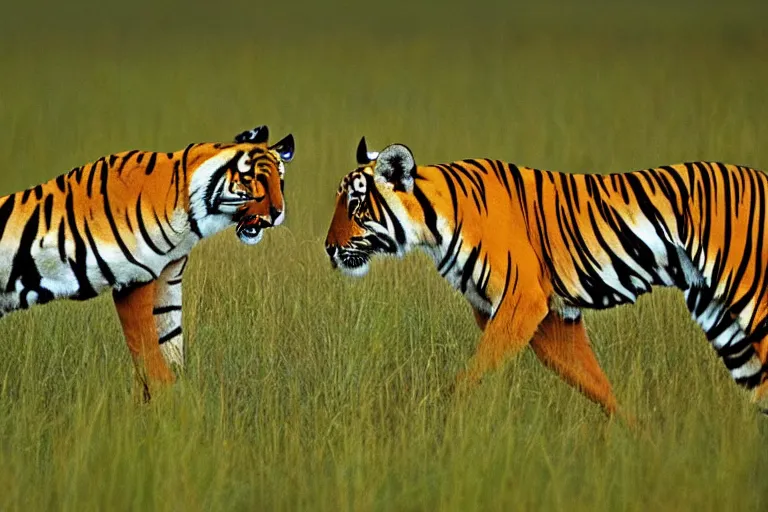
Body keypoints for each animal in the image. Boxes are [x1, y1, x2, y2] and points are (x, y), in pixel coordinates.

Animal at [0, 124, 294, 400]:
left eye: (280, 180)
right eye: (252, 179)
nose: (278, 213)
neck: (189, 218)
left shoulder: (167, 277)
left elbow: (170, 343)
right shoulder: (133, 280)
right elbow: (149, 354)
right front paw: (169, 404)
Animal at [328, 136, 768, 420]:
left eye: (355, 204)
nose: (328, 248)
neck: (433, 225)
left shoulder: (522, 300)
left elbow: (473, 372)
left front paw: (434, 419)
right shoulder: (551, 317)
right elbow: (597, 386)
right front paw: (640, 440)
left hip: (754, 302)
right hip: (723, 323)